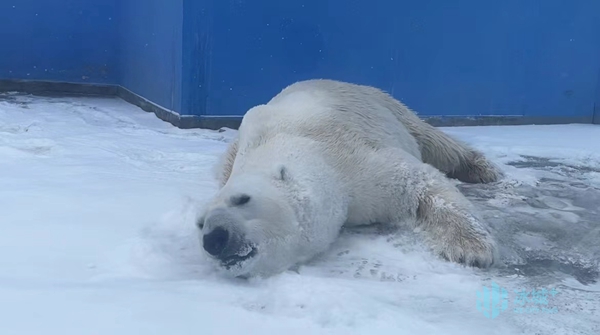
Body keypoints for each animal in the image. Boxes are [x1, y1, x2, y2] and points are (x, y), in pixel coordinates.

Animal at [198, 79, 502, 278]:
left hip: (386, 106)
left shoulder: (355, 161)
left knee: (434, 141)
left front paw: (471, 247)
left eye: (242, 199)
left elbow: (418, 181)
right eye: (199, 223)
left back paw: (482, 169)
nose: (214, 238)